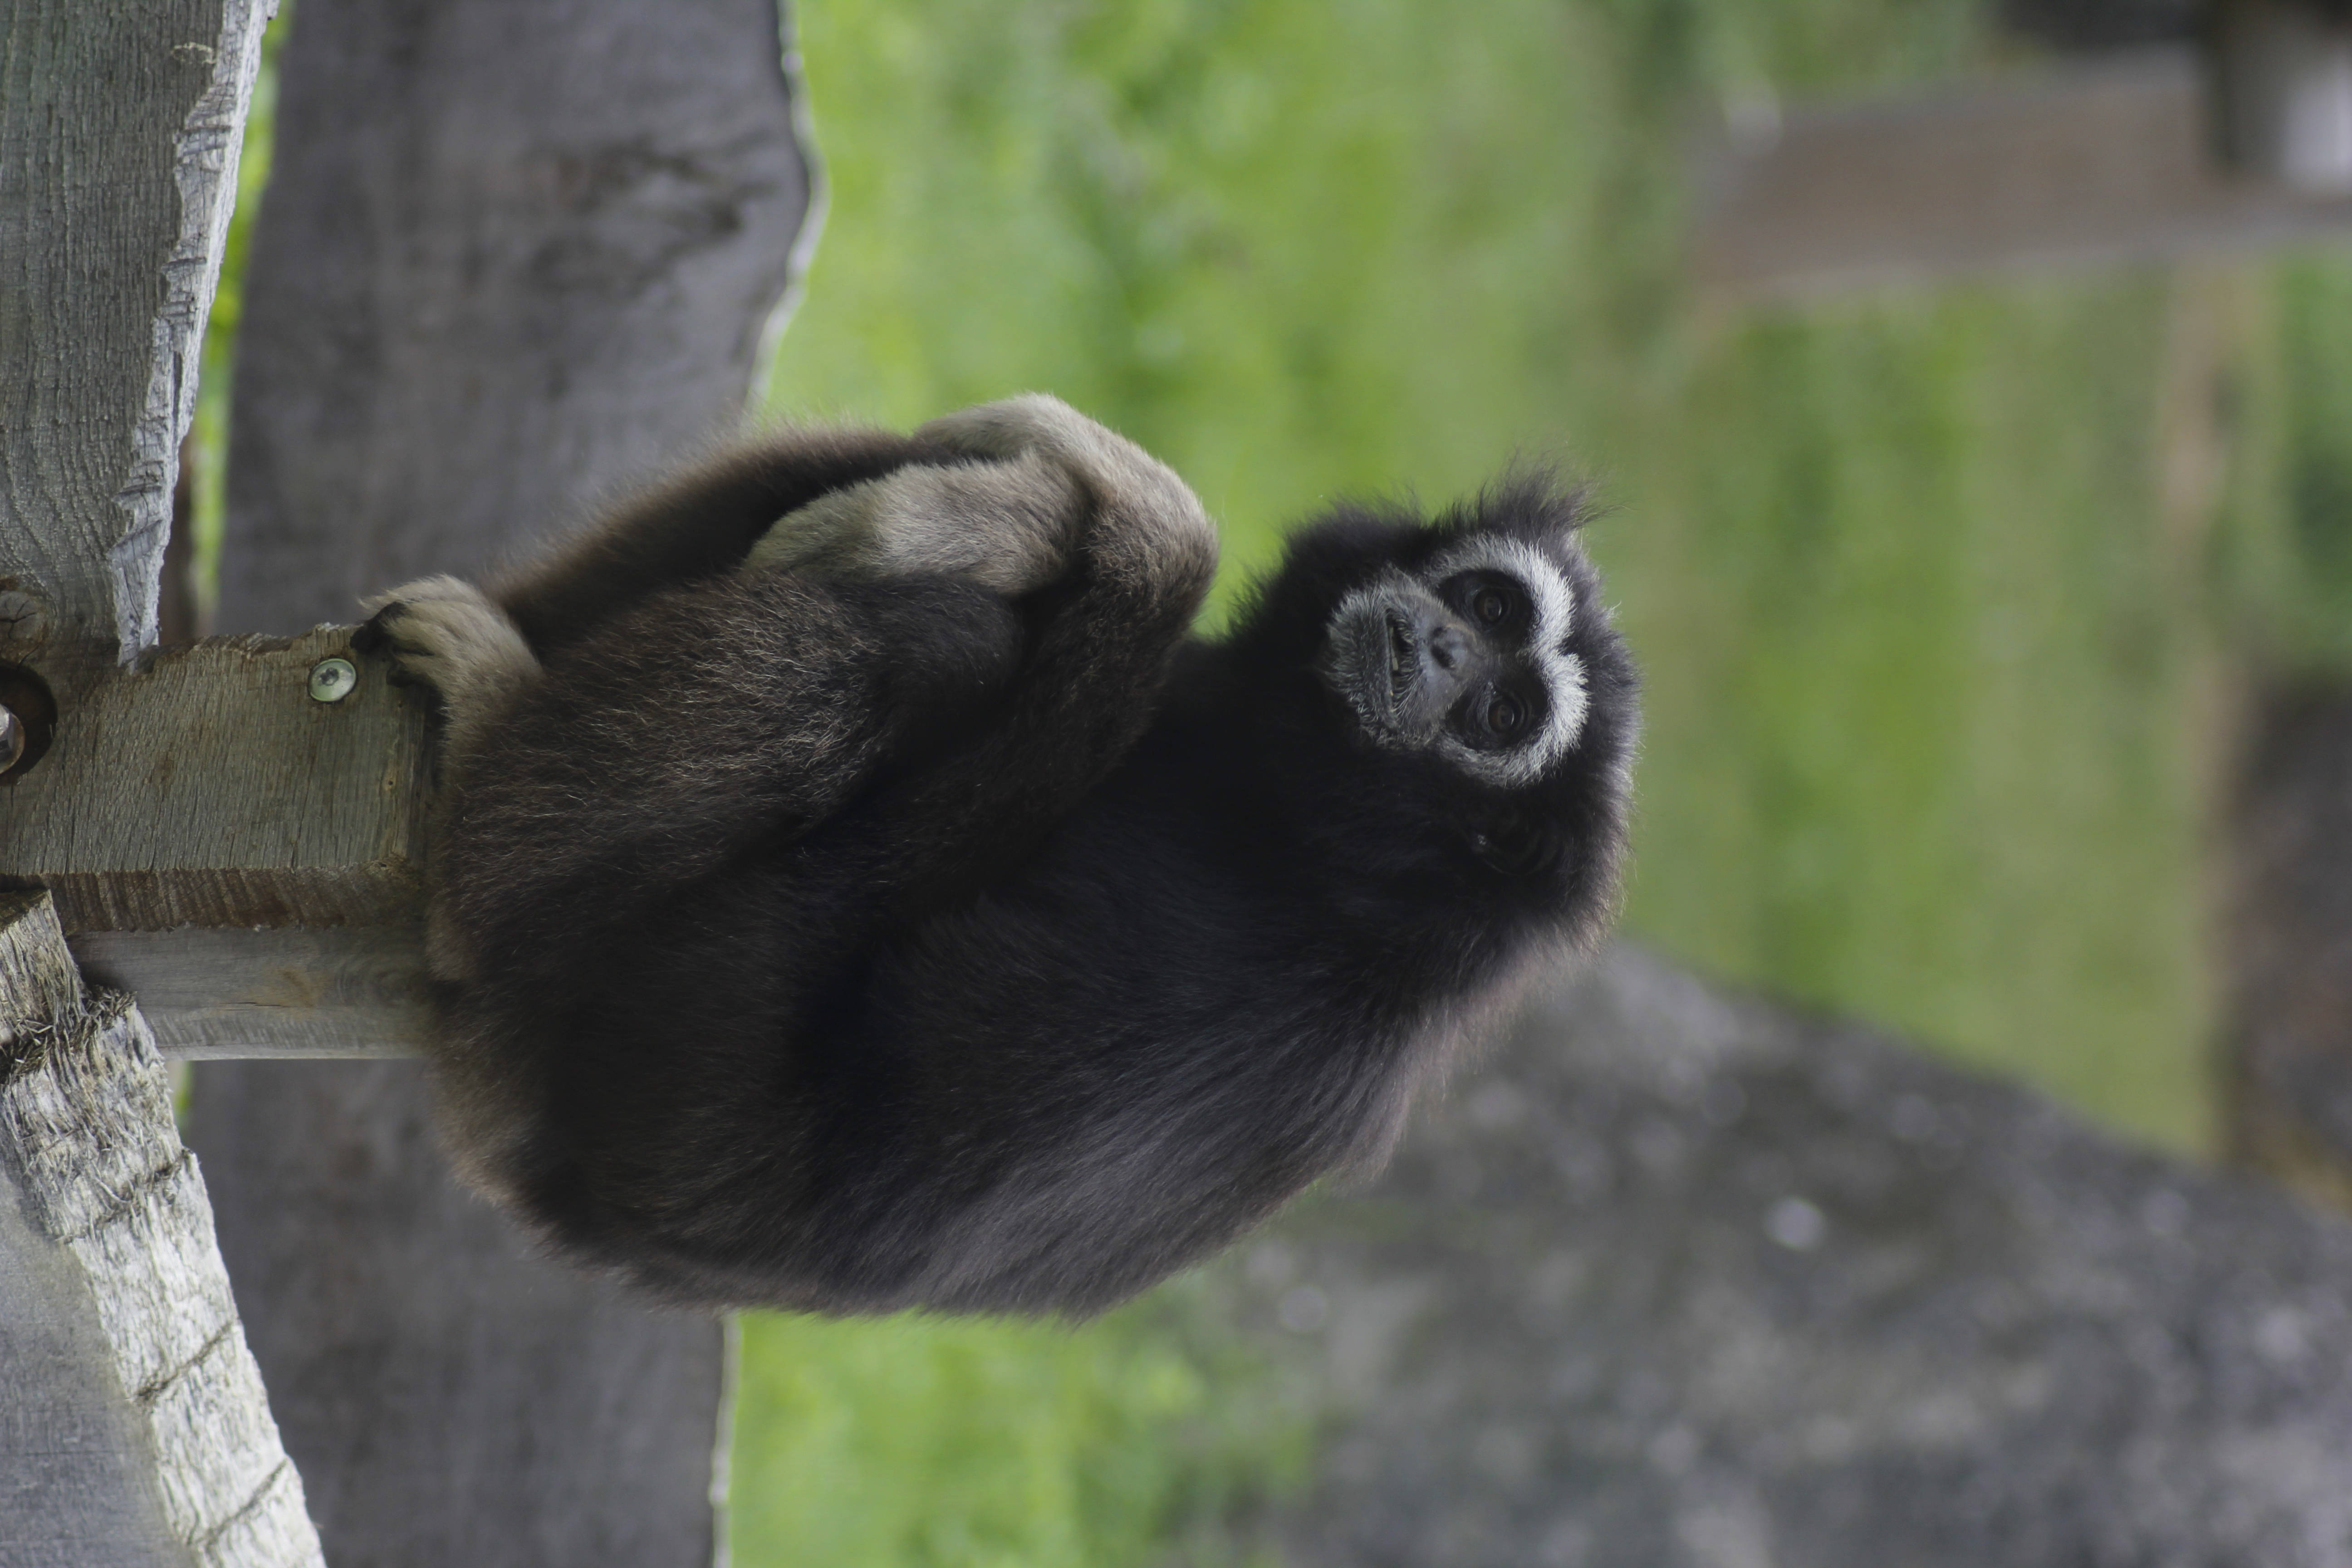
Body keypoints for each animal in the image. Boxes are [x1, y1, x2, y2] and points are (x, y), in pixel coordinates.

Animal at [357, 394, 1637, 1317]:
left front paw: (1144, 525)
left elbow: (743, 1161)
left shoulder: (1286, 1024)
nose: (1443, 645)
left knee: (938, 646)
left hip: (544, 1010)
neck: (1305, 836)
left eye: (1503, 716)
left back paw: (486, 738)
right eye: (1491, 604)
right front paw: (1038, 472)